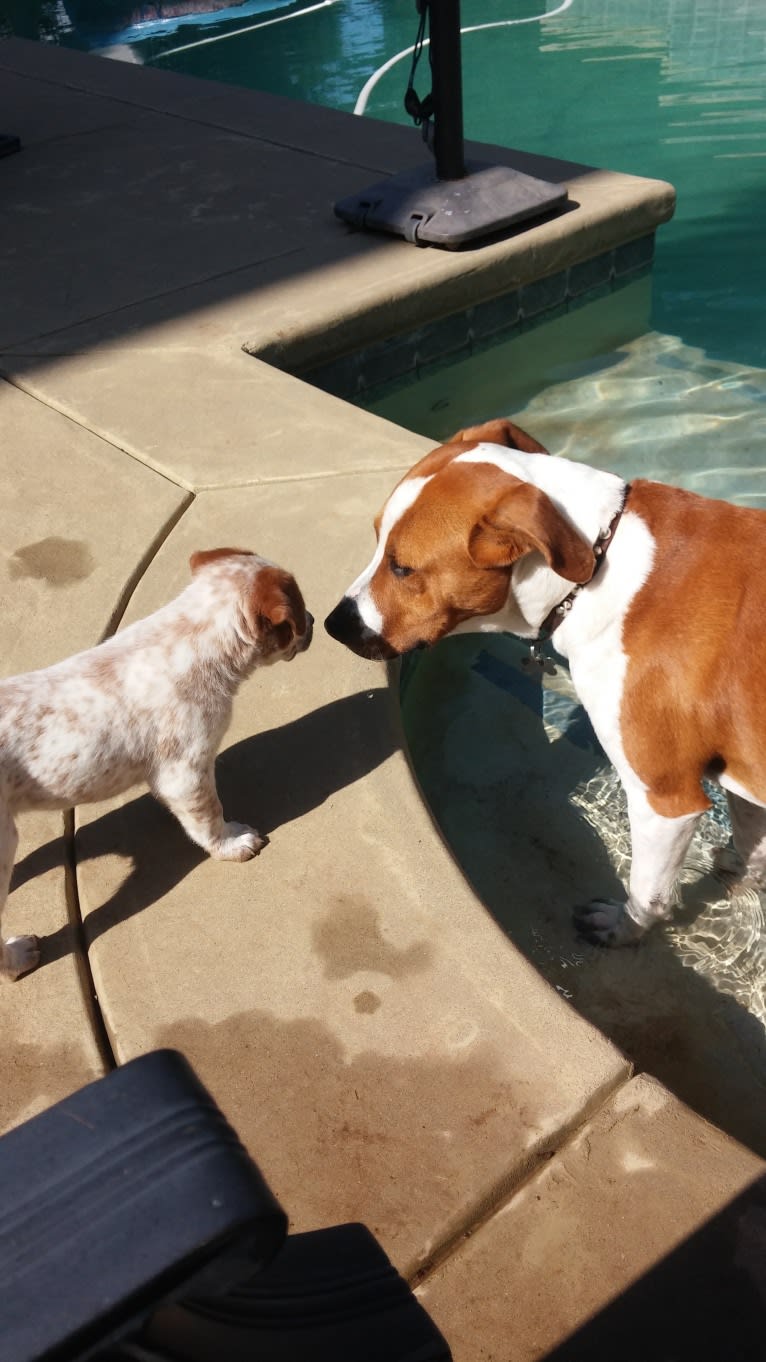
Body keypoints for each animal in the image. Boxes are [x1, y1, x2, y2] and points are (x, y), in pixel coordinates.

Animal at [0, 547, 310, 986]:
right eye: (299, 610)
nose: (314, 621)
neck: (189, 635)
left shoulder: (167, 775)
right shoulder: (187, 771)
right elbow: (210, 818)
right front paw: (231, 843)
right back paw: (18, 957)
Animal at [323, 414, 763, 947]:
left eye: (403, 567)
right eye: (376, 541)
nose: (331, 625)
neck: (596, 567)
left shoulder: (664, 799)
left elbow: (649, 892)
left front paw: (625, 928)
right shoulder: (742, 776)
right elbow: (751, 835)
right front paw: (743, 872)